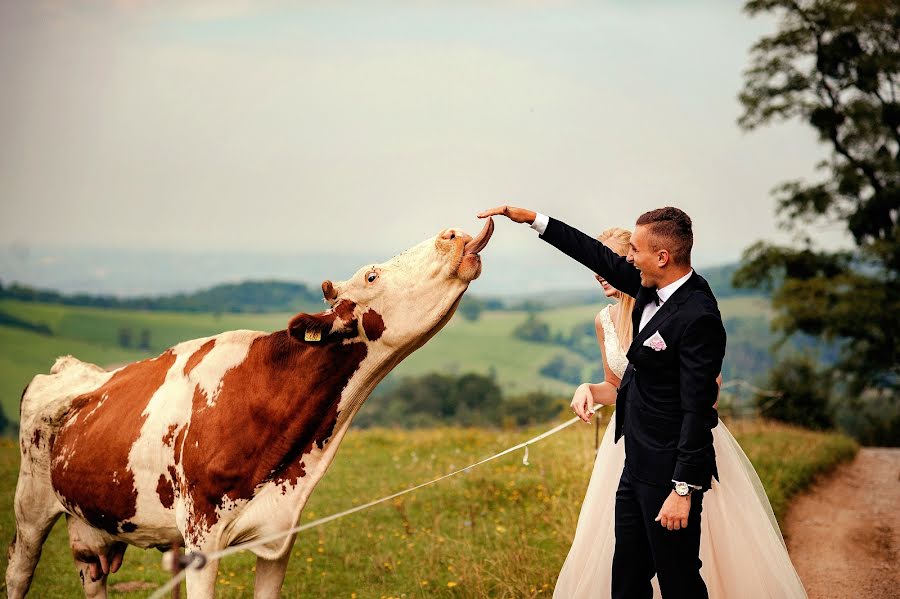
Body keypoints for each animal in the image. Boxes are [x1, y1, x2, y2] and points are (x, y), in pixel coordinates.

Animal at [7, 220, 496, 599]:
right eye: (372, 276)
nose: (453, 233)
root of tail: (69, 367)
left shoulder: (279, 533)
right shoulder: (201, 538)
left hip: (90, 522)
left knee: (92, 575)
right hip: (30, 505)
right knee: (18, 571)